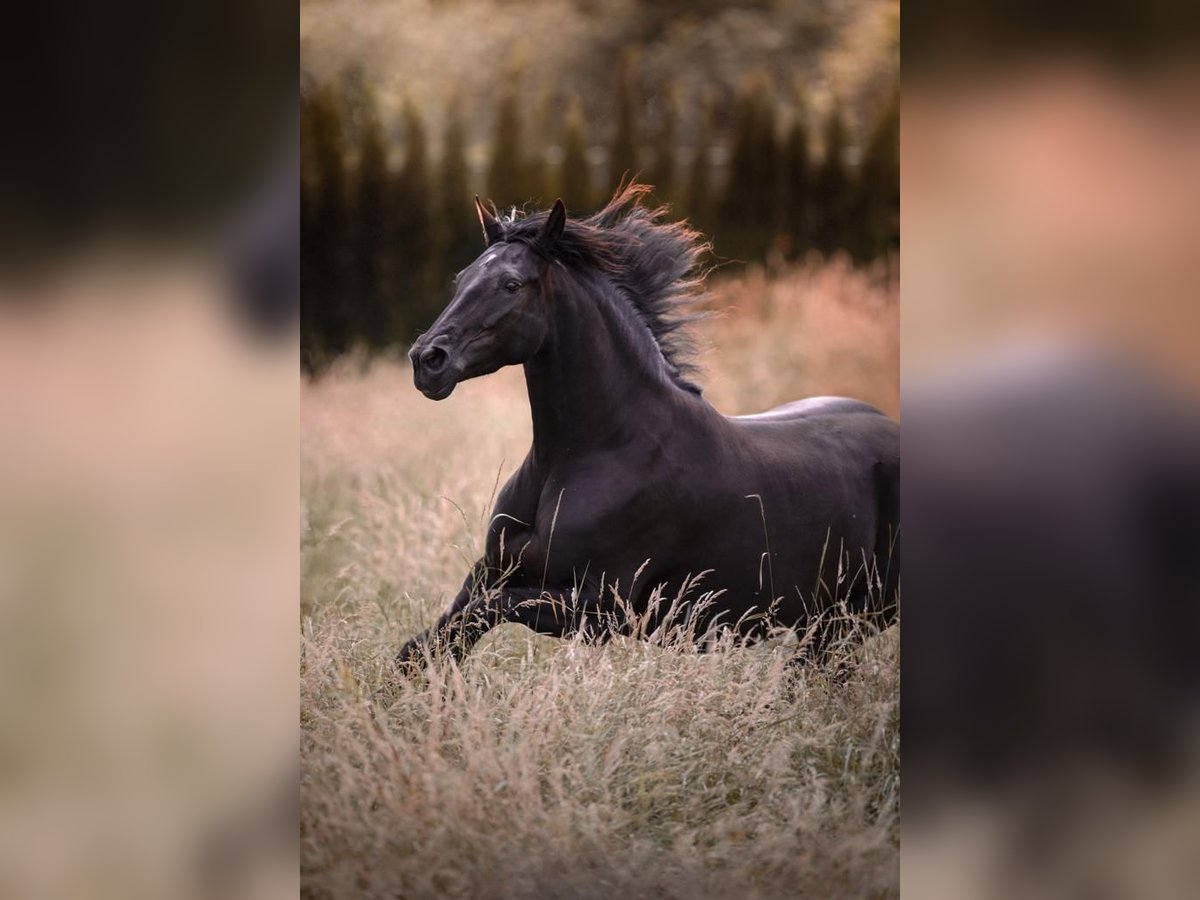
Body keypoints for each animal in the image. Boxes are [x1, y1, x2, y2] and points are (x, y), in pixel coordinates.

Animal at [403, 187, 902, 672]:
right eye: (462, 279)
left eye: (510, 284)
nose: (428, 361)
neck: (597, 451)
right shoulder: (492, 570)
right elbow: (431, 639)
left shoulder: (599, 607)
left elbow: (484, 612)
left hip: (854, 617)